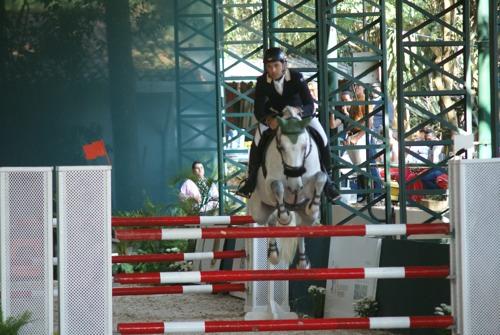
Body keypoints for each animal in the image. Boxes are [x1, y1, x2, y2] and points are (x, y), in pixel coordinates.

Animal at [247, 107, 328, 270]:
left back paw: (303, 262)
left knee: (301, 228)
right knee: (270, 221)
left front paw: (312, 206)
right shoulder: (270, 184)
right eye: (281, 147)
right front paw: (285, 217)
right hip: (259, 211)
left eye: (305, 146)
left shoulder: (311, 181)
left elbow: (321, 177)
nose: (295, 185)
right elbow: (277, 186)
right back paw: (273, 255)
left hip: (307, 217)